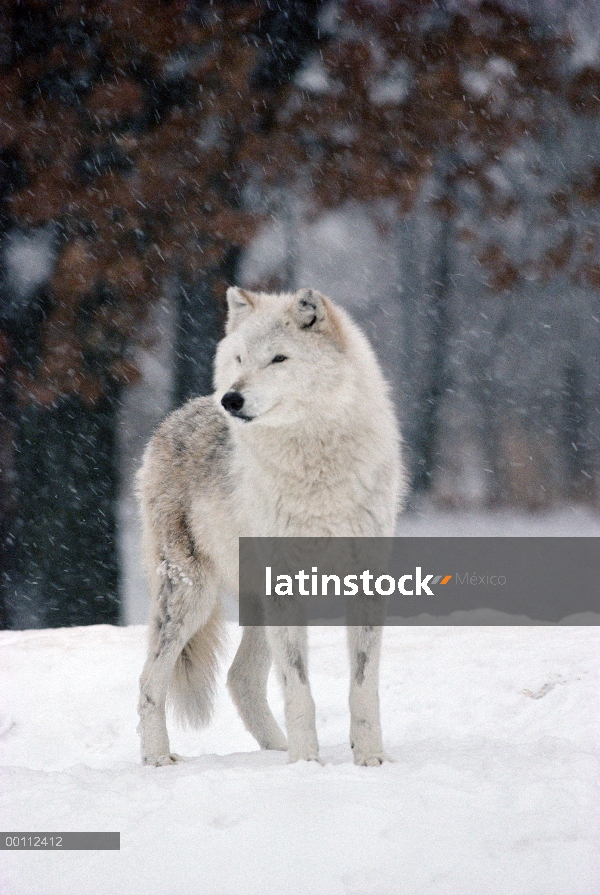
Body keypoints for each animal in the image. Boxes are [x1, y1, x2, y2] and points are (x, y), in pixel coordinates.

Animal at [138, 288, 406, 768]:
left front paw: (369, 758)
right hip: (190, 597)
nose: (230, 399)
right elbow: (298, 689)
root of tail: (173, 420)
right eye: (240, 358)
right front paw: (305, 765)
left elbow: (362, 686)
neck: (314, 467)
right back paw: (158, 759)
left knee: (239, 677)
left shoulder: (366, 581)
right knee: (150, 682)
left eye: (278, 358)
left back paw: (276, 749)